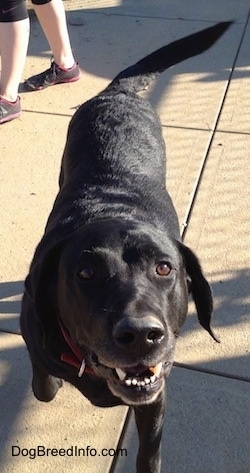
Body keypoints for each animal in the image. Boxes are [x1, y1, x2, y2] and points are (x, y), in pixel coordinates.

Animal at [20, 23, 231, 472]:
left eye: (165, 268)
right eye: (86, 273)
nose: (141, 335)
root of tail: (117, 92)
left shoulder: (155, 395)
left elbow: (149, 452)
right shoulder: (38, 340)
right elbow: (43, 386)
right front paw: (51, 382)